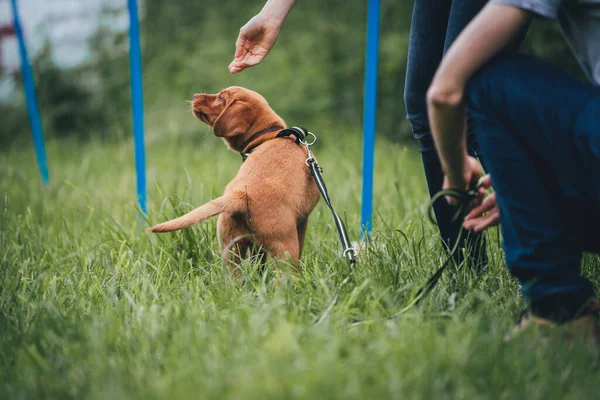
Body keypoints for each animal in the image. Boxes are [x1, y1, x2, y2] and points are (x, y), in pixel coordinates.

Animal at [150, 86, 322, 270]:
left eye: (220, 97)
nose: (195, 95)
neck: (269, 135)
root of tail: (241, 195)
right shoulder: (302, 223)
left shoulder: (255, 247)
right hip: (285, 247)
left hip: (230, 246)